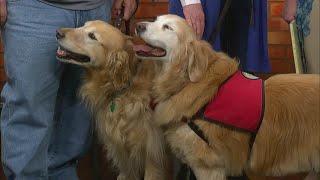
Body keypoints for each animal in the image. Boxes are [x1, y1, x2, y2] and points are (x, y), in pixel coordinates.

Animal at [55, 20, 169, 180]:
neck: (124, 88)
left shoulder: (153, 153)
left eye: (92, 36)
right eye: (83, 25)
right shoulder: (119, 147)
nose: (58, 32)